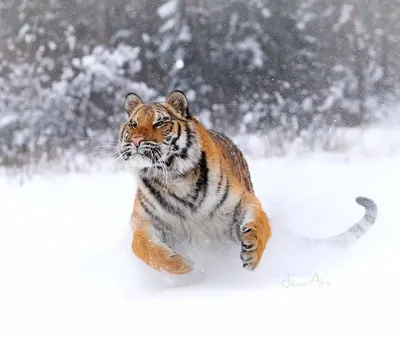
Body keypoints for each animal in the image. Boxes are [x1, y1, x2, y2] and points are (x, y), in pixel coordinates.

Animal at [118, 88, 272, 272]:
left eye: (159, 123)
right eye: (133, 124)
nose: (135, 141)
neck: (173, 177)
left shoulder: (239, 202)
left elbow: (259, 221)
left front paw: (252, 252)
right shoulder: (144, 220)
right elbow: (143, 246)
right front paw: (181, 264)